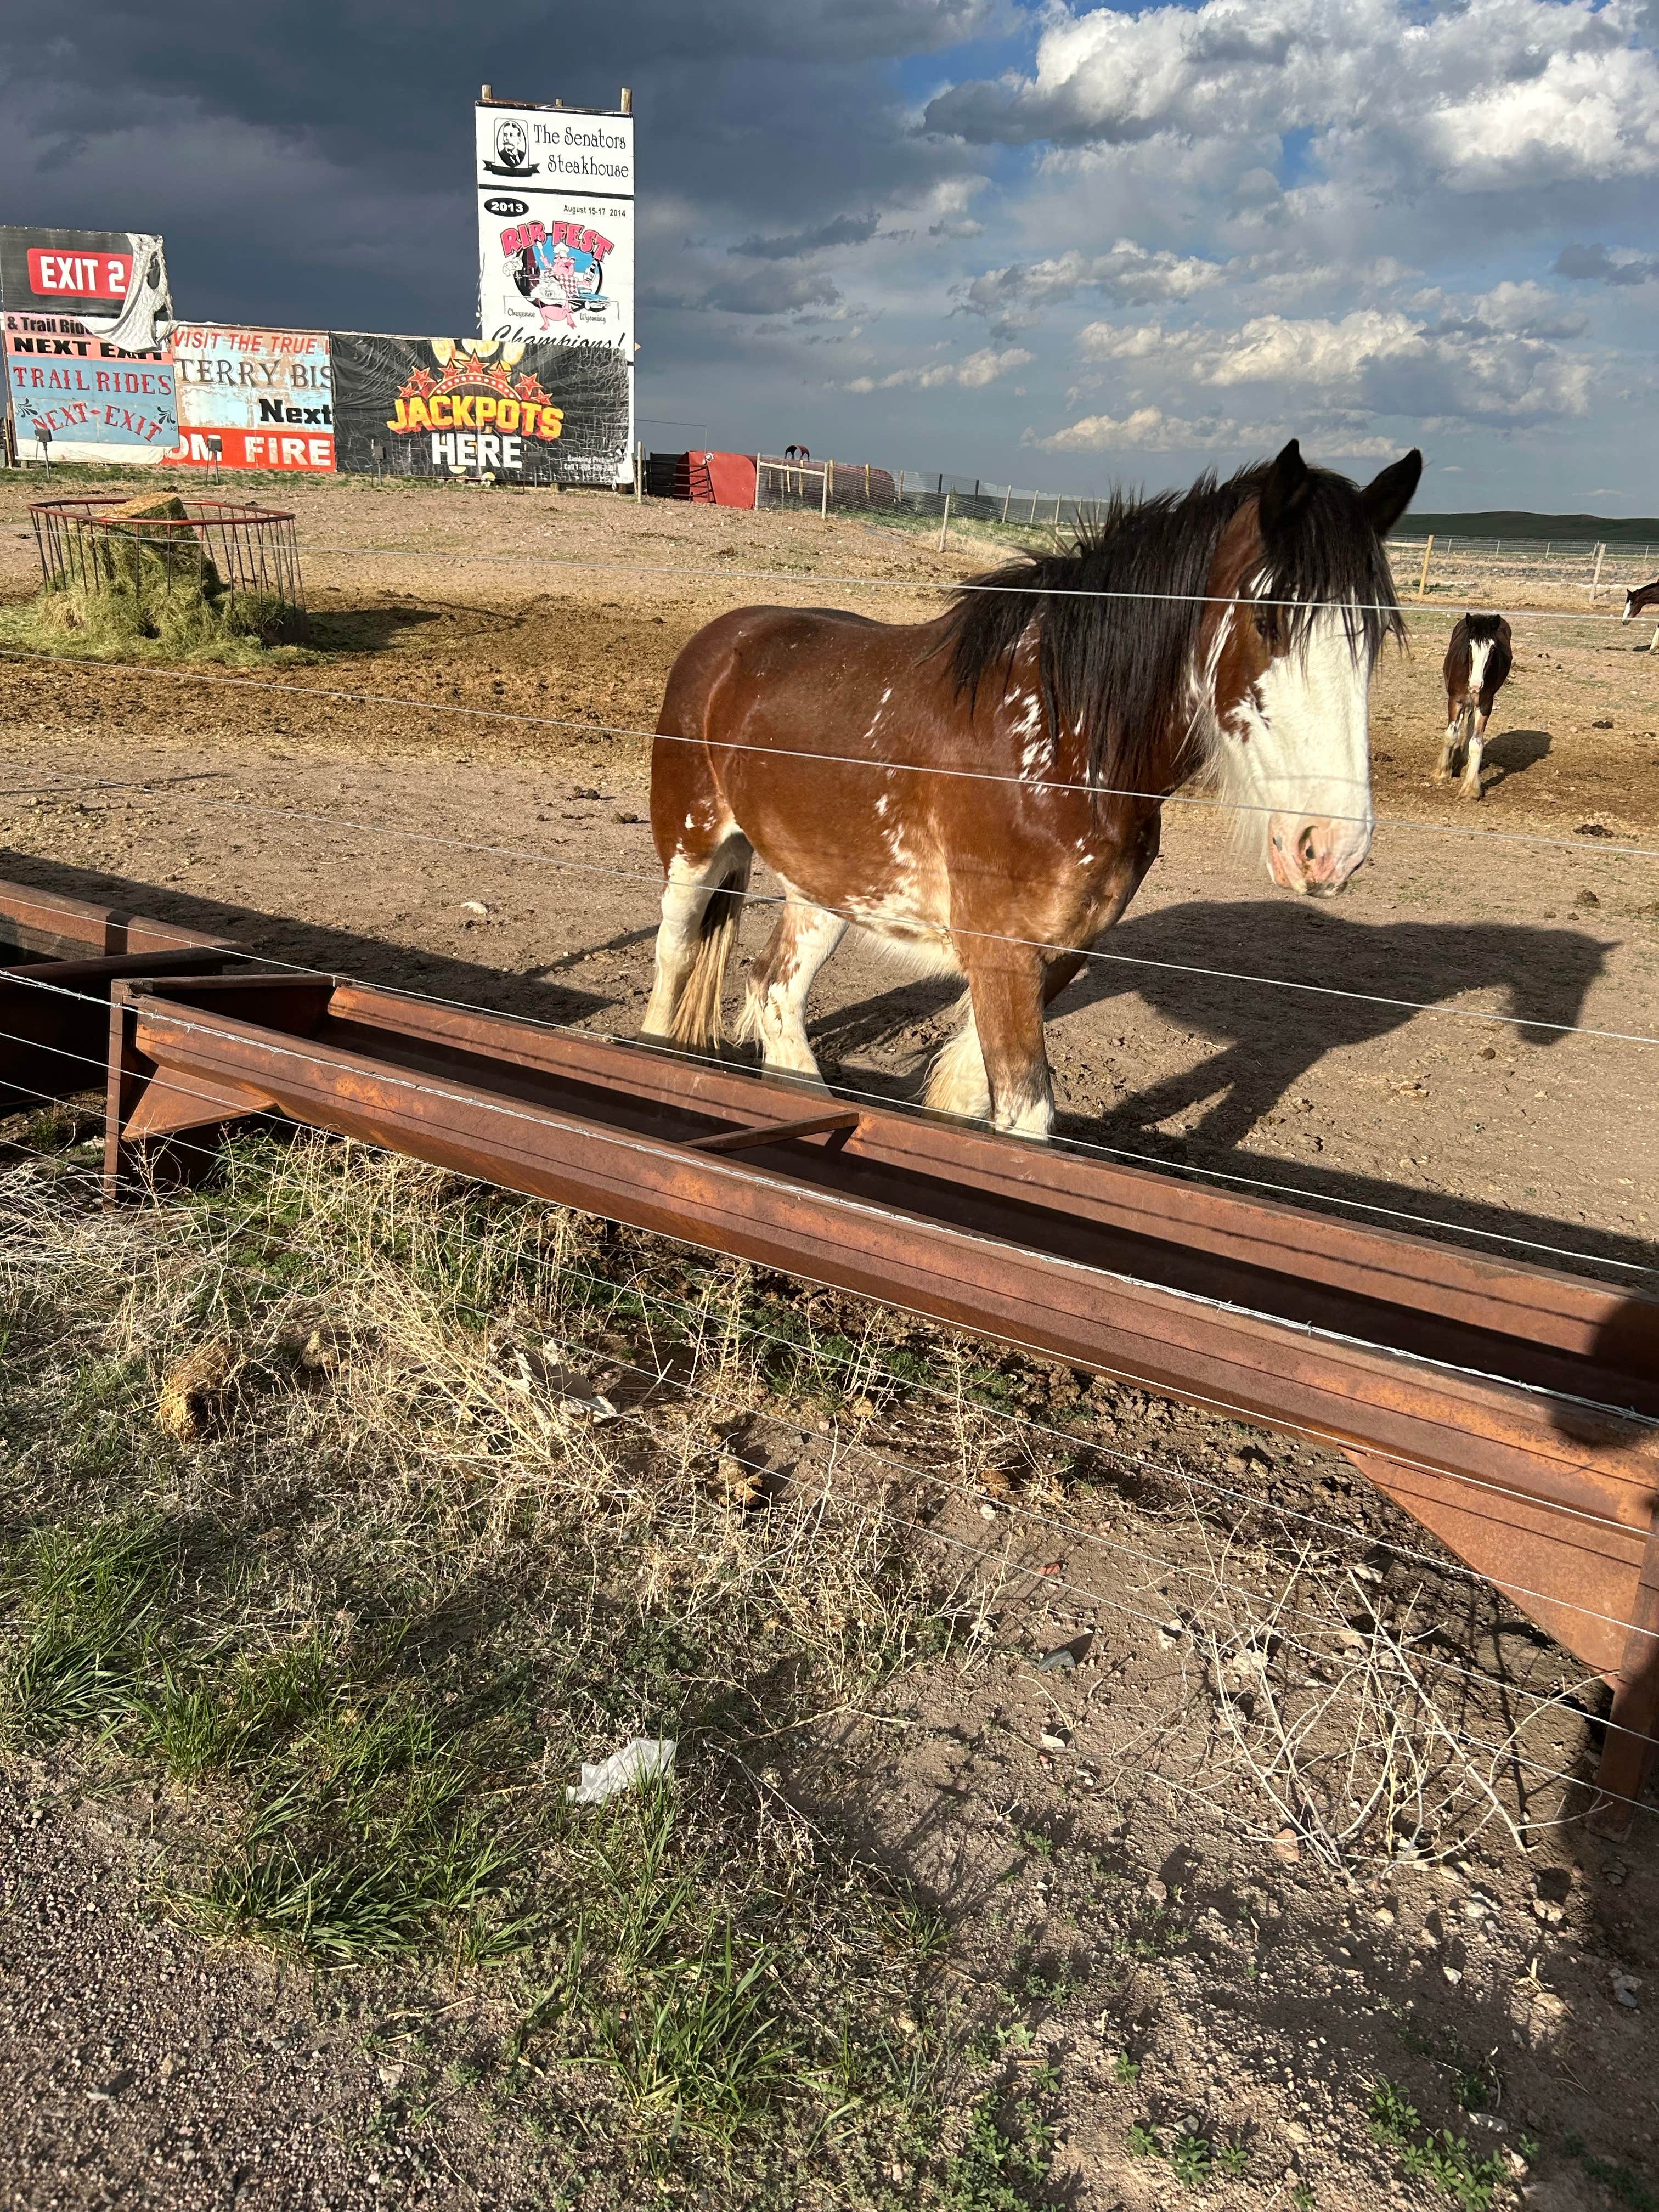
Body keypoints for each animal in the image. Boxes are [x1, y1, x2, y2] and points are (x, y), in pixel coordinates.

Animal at [642, 437, 1423, 1140]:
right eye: (1267, 618)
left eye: (1375, 636)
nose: (1330, 848)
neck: (1058, 741)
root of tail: (727, 636)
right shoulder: (1001, 950)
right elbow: (1025, 1117)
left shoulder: (1065, 949)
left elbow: (975, 1101)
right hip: (694, 848)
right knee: (675, 956)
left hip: (828, 888)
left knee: (775, 990)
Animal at [1438, 613, 1513, 801]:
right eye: (1470, 646)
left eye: (1492, 649)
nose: (1476, 685)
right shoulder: (1455, 700)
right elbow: (1450, 734)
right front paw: (1442, 773)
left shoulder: (1485, 704)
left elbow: (1476, 744)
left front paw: (1470, 790)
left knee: (1470, 723)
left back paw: (1463, 762)